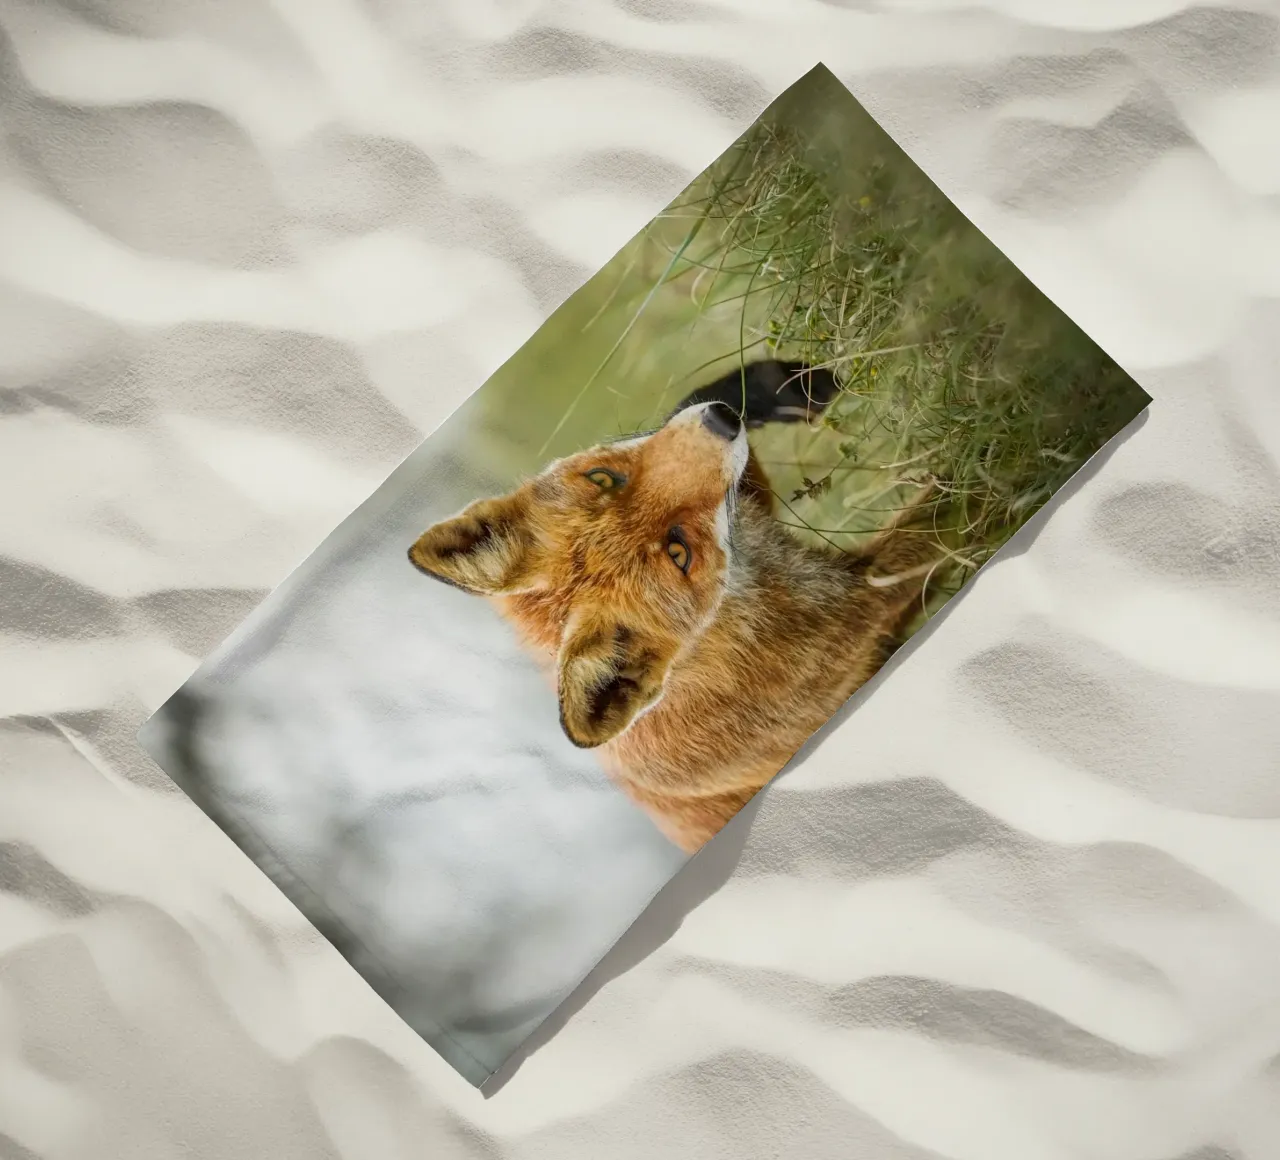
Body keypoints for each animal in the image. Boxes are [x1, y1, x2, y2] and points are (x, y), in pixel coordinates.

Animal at [408, 360, 943, 853]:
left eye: (604, 478)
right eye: (679, 551)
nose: (723, 420)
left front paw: (780, 385)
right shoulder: (865, 600)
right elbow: (943, 513)